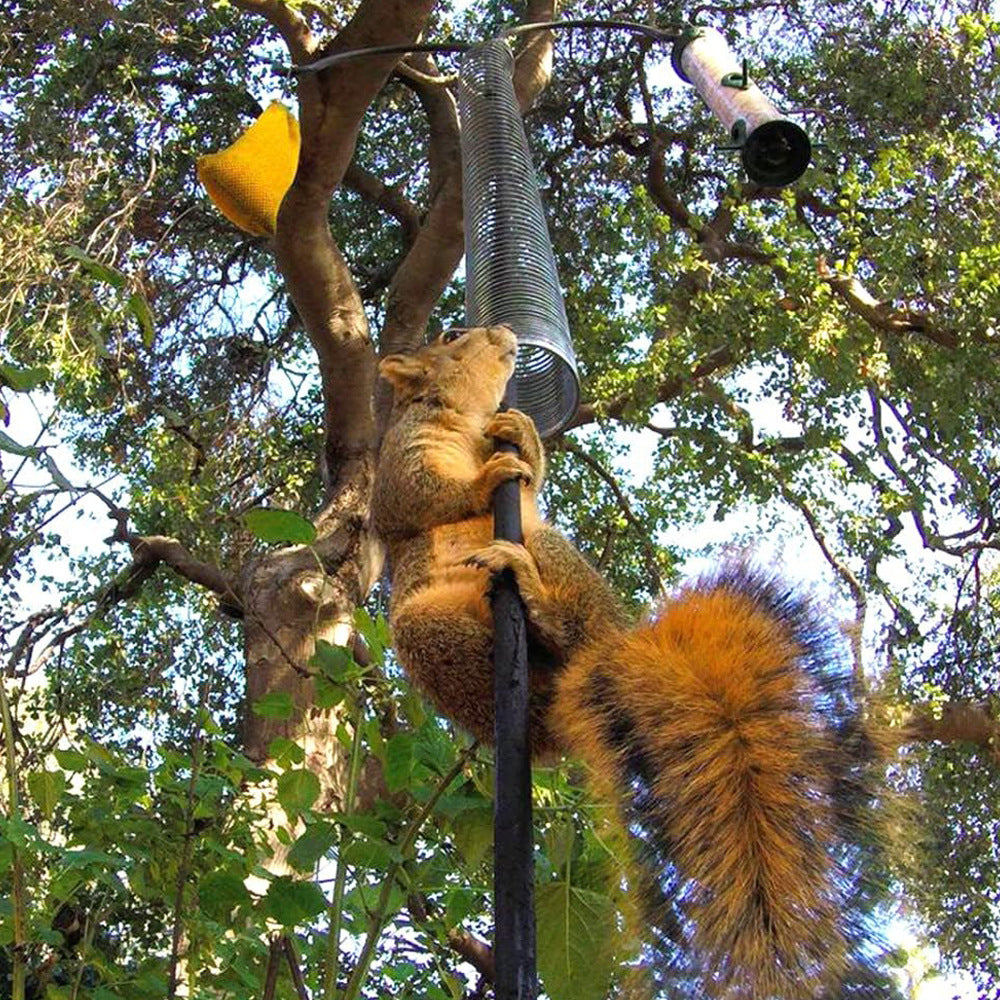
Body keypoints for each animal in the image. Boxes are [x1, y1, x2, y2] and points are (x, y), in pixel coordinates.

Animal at [373, 325, 880, 999]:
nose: (504, 333)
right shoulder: (402, 457)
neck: (467, 418)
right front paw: (484, 481)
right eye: (453, 336)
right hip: (432, 632)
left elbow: (529, 478)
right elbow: (422, 494)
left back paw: (540, 600)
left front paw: (525, 437)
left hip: (550, 550)